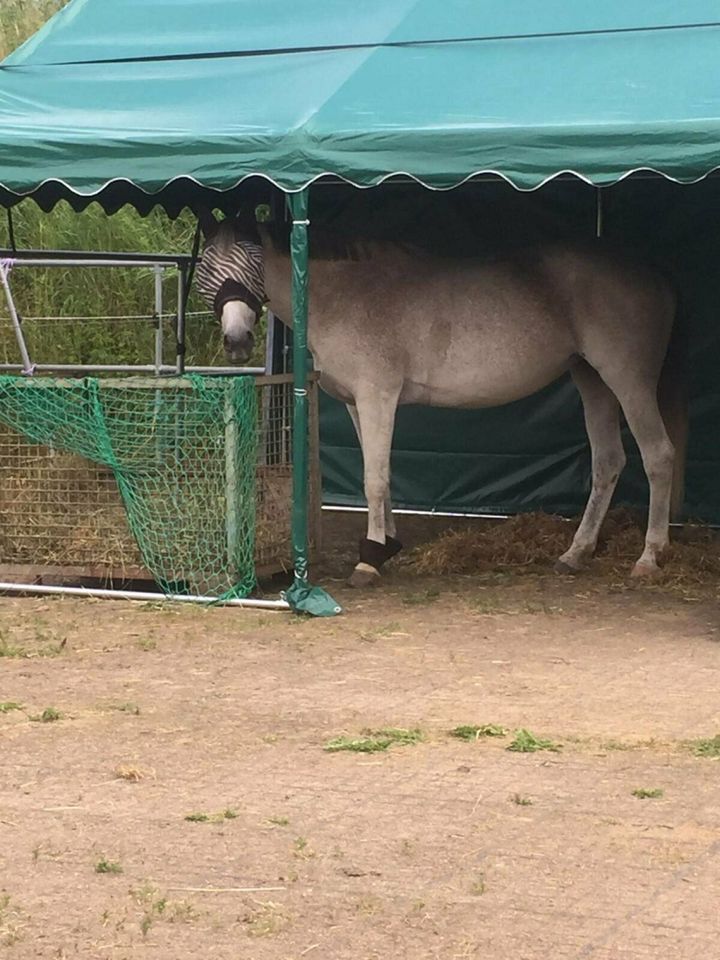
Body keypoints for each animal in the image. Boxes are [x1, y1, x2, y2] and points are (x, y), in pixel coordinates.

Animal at [200, 214, 684, 588]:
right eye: (206, 263)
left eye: (253, 259)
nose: (237, 342)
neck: (344, 293)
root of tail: (654, 275)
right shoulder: (358, 402)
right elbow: (379, 472)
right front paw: (386, 547)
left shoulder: (377, 396)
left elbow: (374, 479)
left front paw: (368, 562)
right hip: (592, 381)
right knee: (608, 462)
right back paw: (576, 553)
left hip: (627, 380)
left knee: (658, 456)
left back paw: (649, 557)